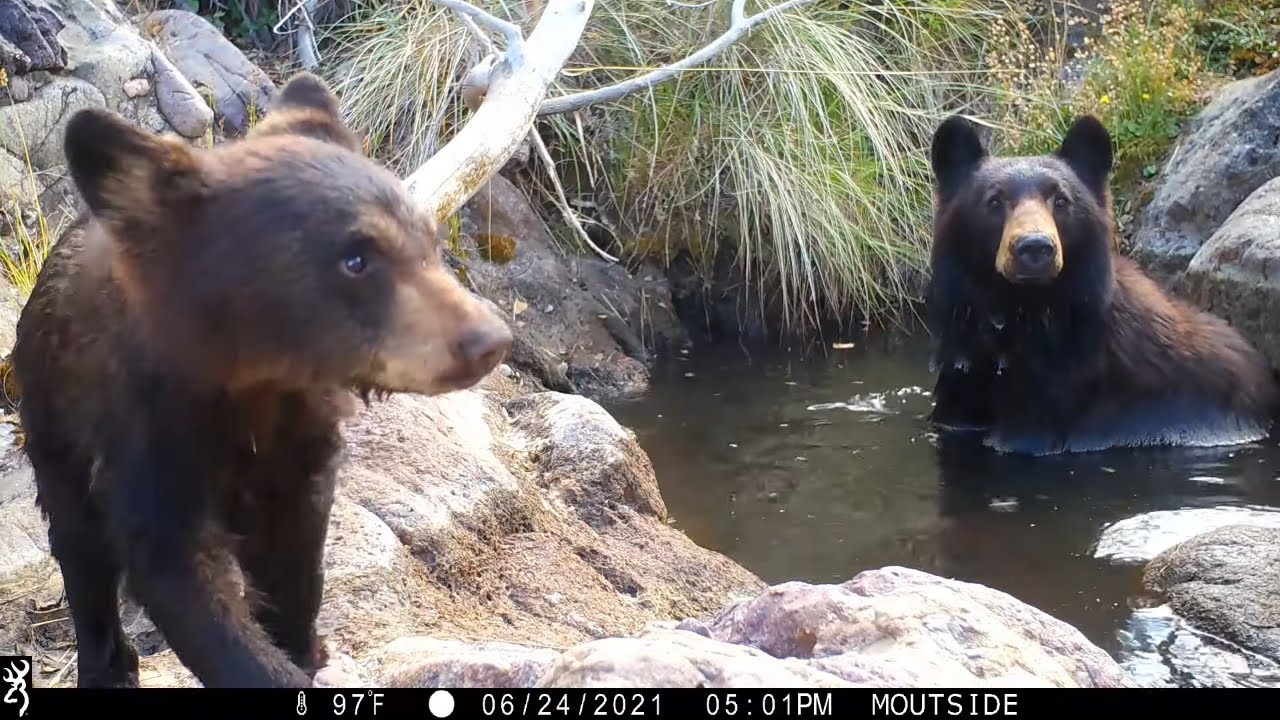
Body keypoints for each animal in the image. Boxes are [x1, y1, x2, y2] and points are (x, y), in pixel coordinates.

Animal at [10, 72, 513, 688]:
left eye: (432, 242)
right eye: (355, 258)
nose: (489, 339)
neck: (257, 382)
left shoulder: (300, 441)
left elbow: (296, 555)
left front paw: (303, 648)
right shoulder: (148, 432)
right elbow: (179, 573)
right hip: (54, 427)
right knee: (82, 554)